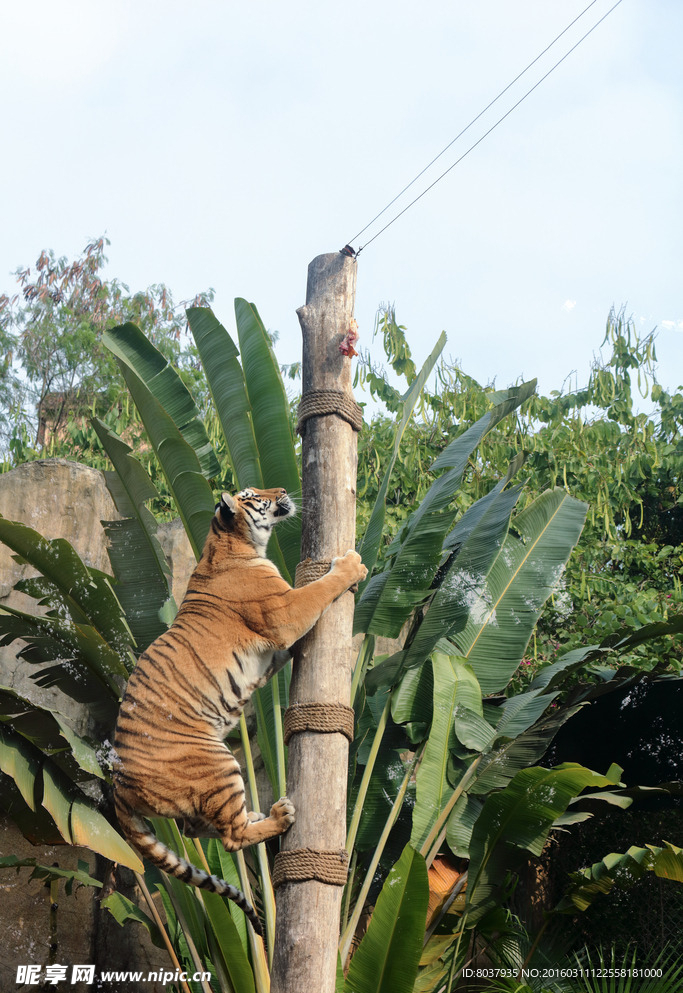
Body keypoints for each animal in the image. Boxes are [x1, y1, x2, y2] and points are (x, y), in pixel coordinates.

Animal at [113, 488, 368, 936]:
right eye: (253, 497)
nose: (280, 491)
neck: (230, 543)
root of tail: (117, 782)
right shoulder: (285, 612)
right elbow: (321, 589)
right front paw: (351, 565)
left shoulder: (277, 645)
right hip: (218, 763)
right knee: (229, 836)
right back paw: (279, 816)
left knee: (196, 826)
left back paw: (257, 814)